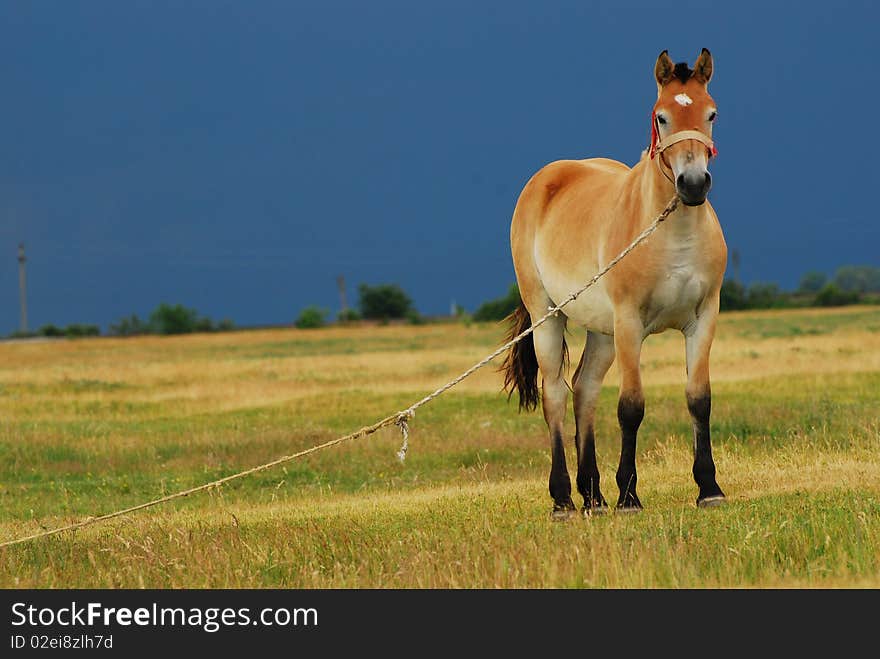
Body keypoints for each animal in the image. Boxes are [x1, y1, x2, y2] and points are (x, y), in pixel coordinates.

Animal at [502, 47, 728, 520]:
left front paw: (709, 487)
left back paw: (593, 495)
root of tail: (546, 179)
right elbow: (631, 407)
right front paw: (629, 496)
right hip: (548, 315)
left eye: (712, 113)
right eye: (661, 116)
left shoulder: (704, 318)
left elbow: (699, 398)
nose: (693, 184)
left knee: (584, 391)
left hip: (601, 331)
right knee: (555, 395)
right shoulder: (630, 324)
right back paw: (564, 499)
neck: (671, 233)